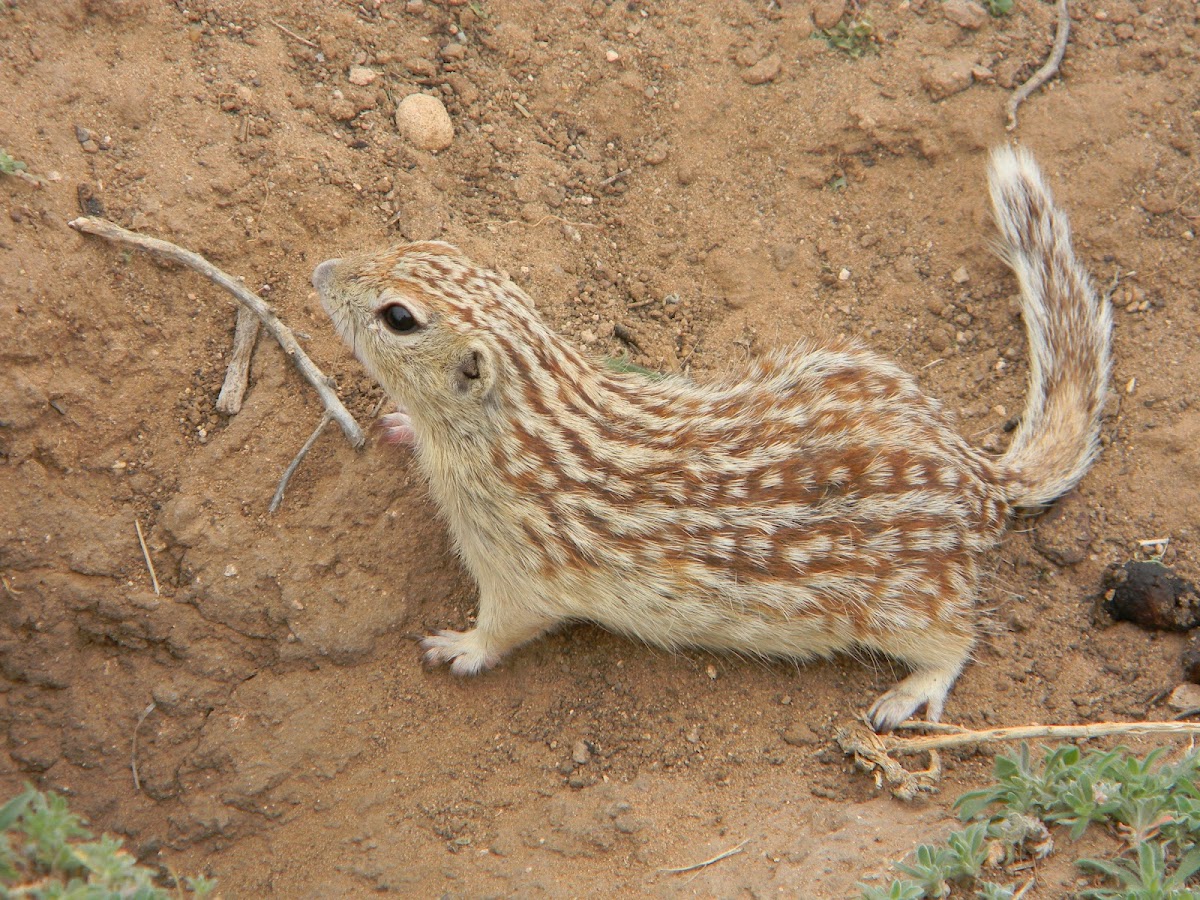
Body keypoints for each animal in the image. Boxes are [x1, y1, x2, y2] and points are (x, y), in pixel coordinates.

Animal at [313, 146, 1111, 732]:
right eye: (423, 241)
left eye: (398, 318)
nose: (320, 269)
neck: (529, 420)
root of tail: (981, 478)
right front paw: (397, 426)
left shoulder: (521, 571)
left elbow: (506, 627)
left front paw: (457, 648)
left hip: (907, 604)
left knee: (957, 640)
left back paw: (910, 692)